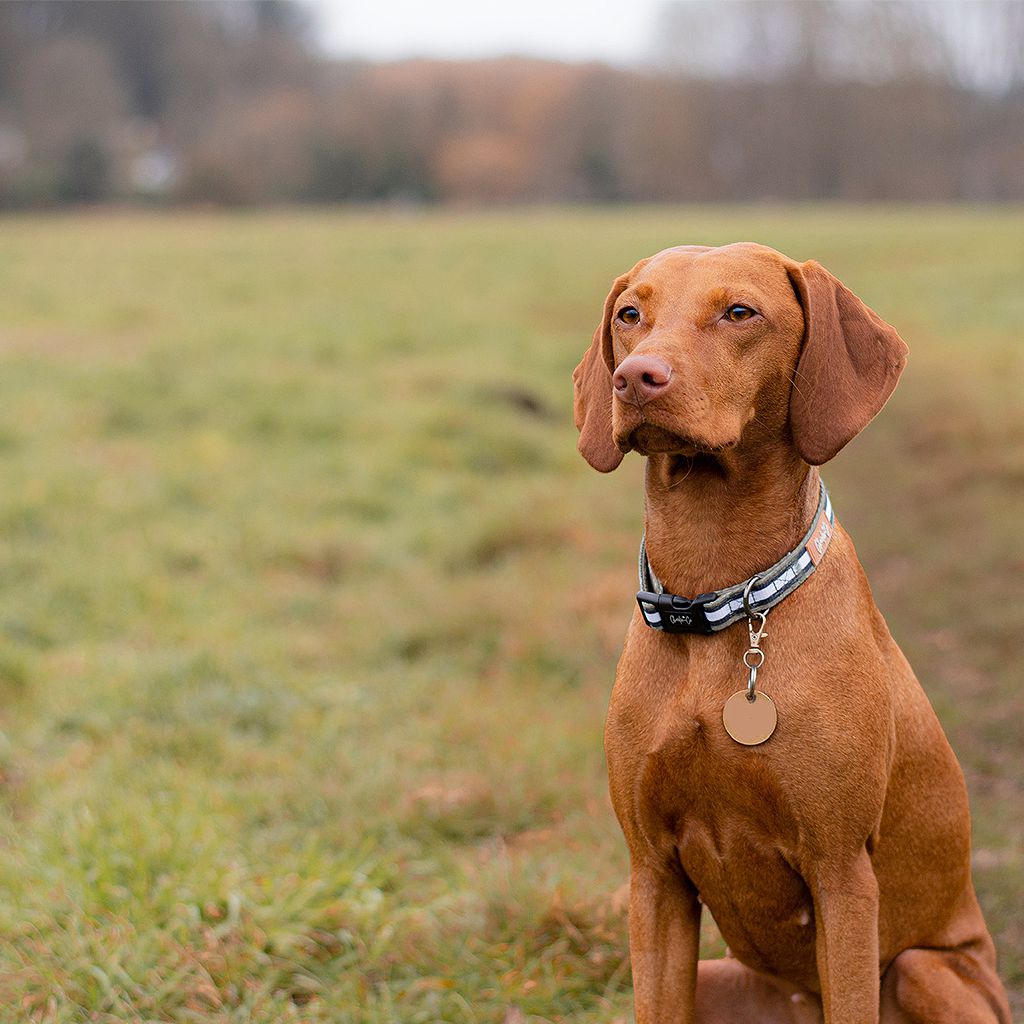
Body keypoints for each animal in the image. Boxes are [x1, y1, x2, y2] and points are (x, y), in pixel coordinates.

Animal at [573, 245, 1011, 1024]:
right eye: (629, 314)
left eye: (739, 312)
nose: (636, 377)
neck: (716, 598)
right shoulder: (652, 872)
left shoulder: (840, 873)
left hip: (927, 971)